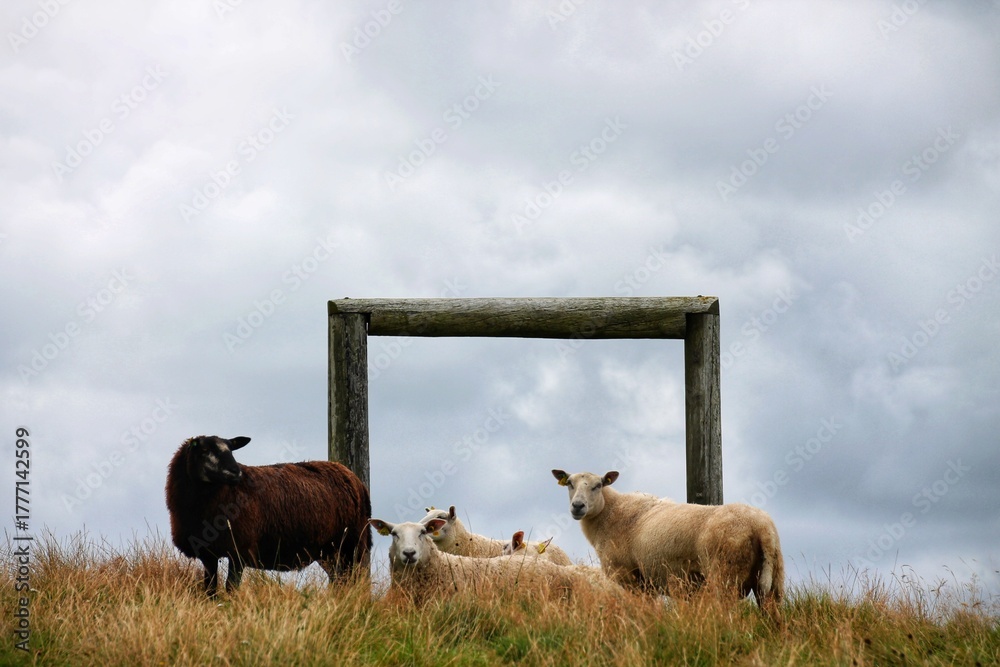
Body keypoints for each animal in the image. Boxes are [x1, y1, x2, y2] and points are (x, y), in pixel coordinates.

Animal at [165, 435, 371, 596]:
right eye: (205, 450)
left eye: (231, 451)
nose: (236, 472)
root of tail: (353, 477)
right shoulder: (208, 554)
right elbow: (210, 591)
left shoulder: (240, 551)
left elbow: (231, 589)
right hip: (329, 551)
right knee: (339, 580)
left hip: (352, 543)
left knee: (356, 580)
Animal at [551, 469, 784, 612]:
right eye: (569, 484)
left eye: (598, 485)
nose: (578, 506)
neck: (610, 513)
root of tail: (761, 526)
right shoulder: (647, 583)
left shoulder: (626, 575)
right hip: (774, 580)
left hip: (725, 576)